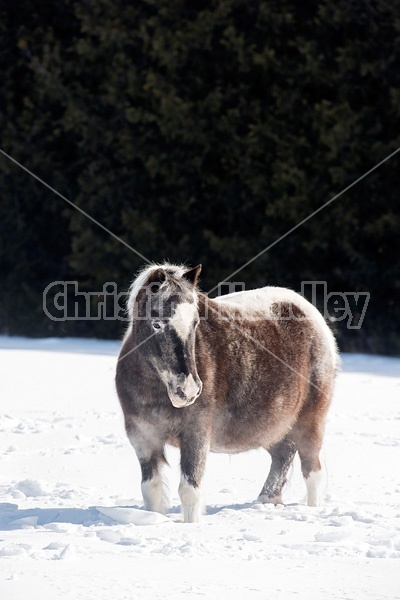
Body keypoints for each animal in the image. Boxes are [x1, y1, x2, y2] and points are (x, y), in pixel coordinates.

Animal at [115, 262, 338, 520]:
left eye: (195, 324)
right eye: (157, 324)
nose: (188, 391)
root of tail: (311, 314)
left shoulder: (195, 434)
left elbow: (189, 492)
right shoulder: (144, 439)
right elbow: (152, 491)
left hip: (310, 422)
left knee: (313, 472)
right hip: (275, 427)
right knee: (283, 455)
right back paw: (267, 500)